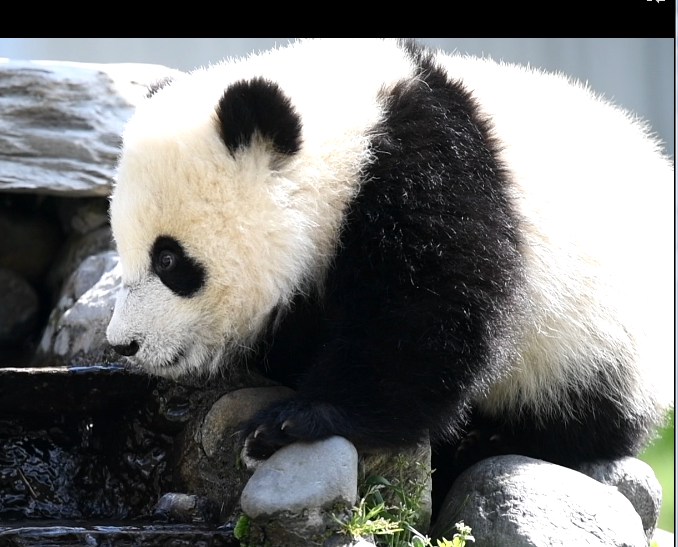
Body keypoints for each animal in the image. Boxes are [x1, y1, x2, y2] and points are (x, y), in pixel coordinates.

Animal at [106, 39, 676, 506]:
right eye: (123, 253)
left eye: (168, 260)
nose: (123, 345)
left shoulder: (429, 171)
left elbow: (431, 312)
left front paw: (290, 423)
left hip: (599, 337)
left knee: (580, 416)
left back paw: (485, 444)